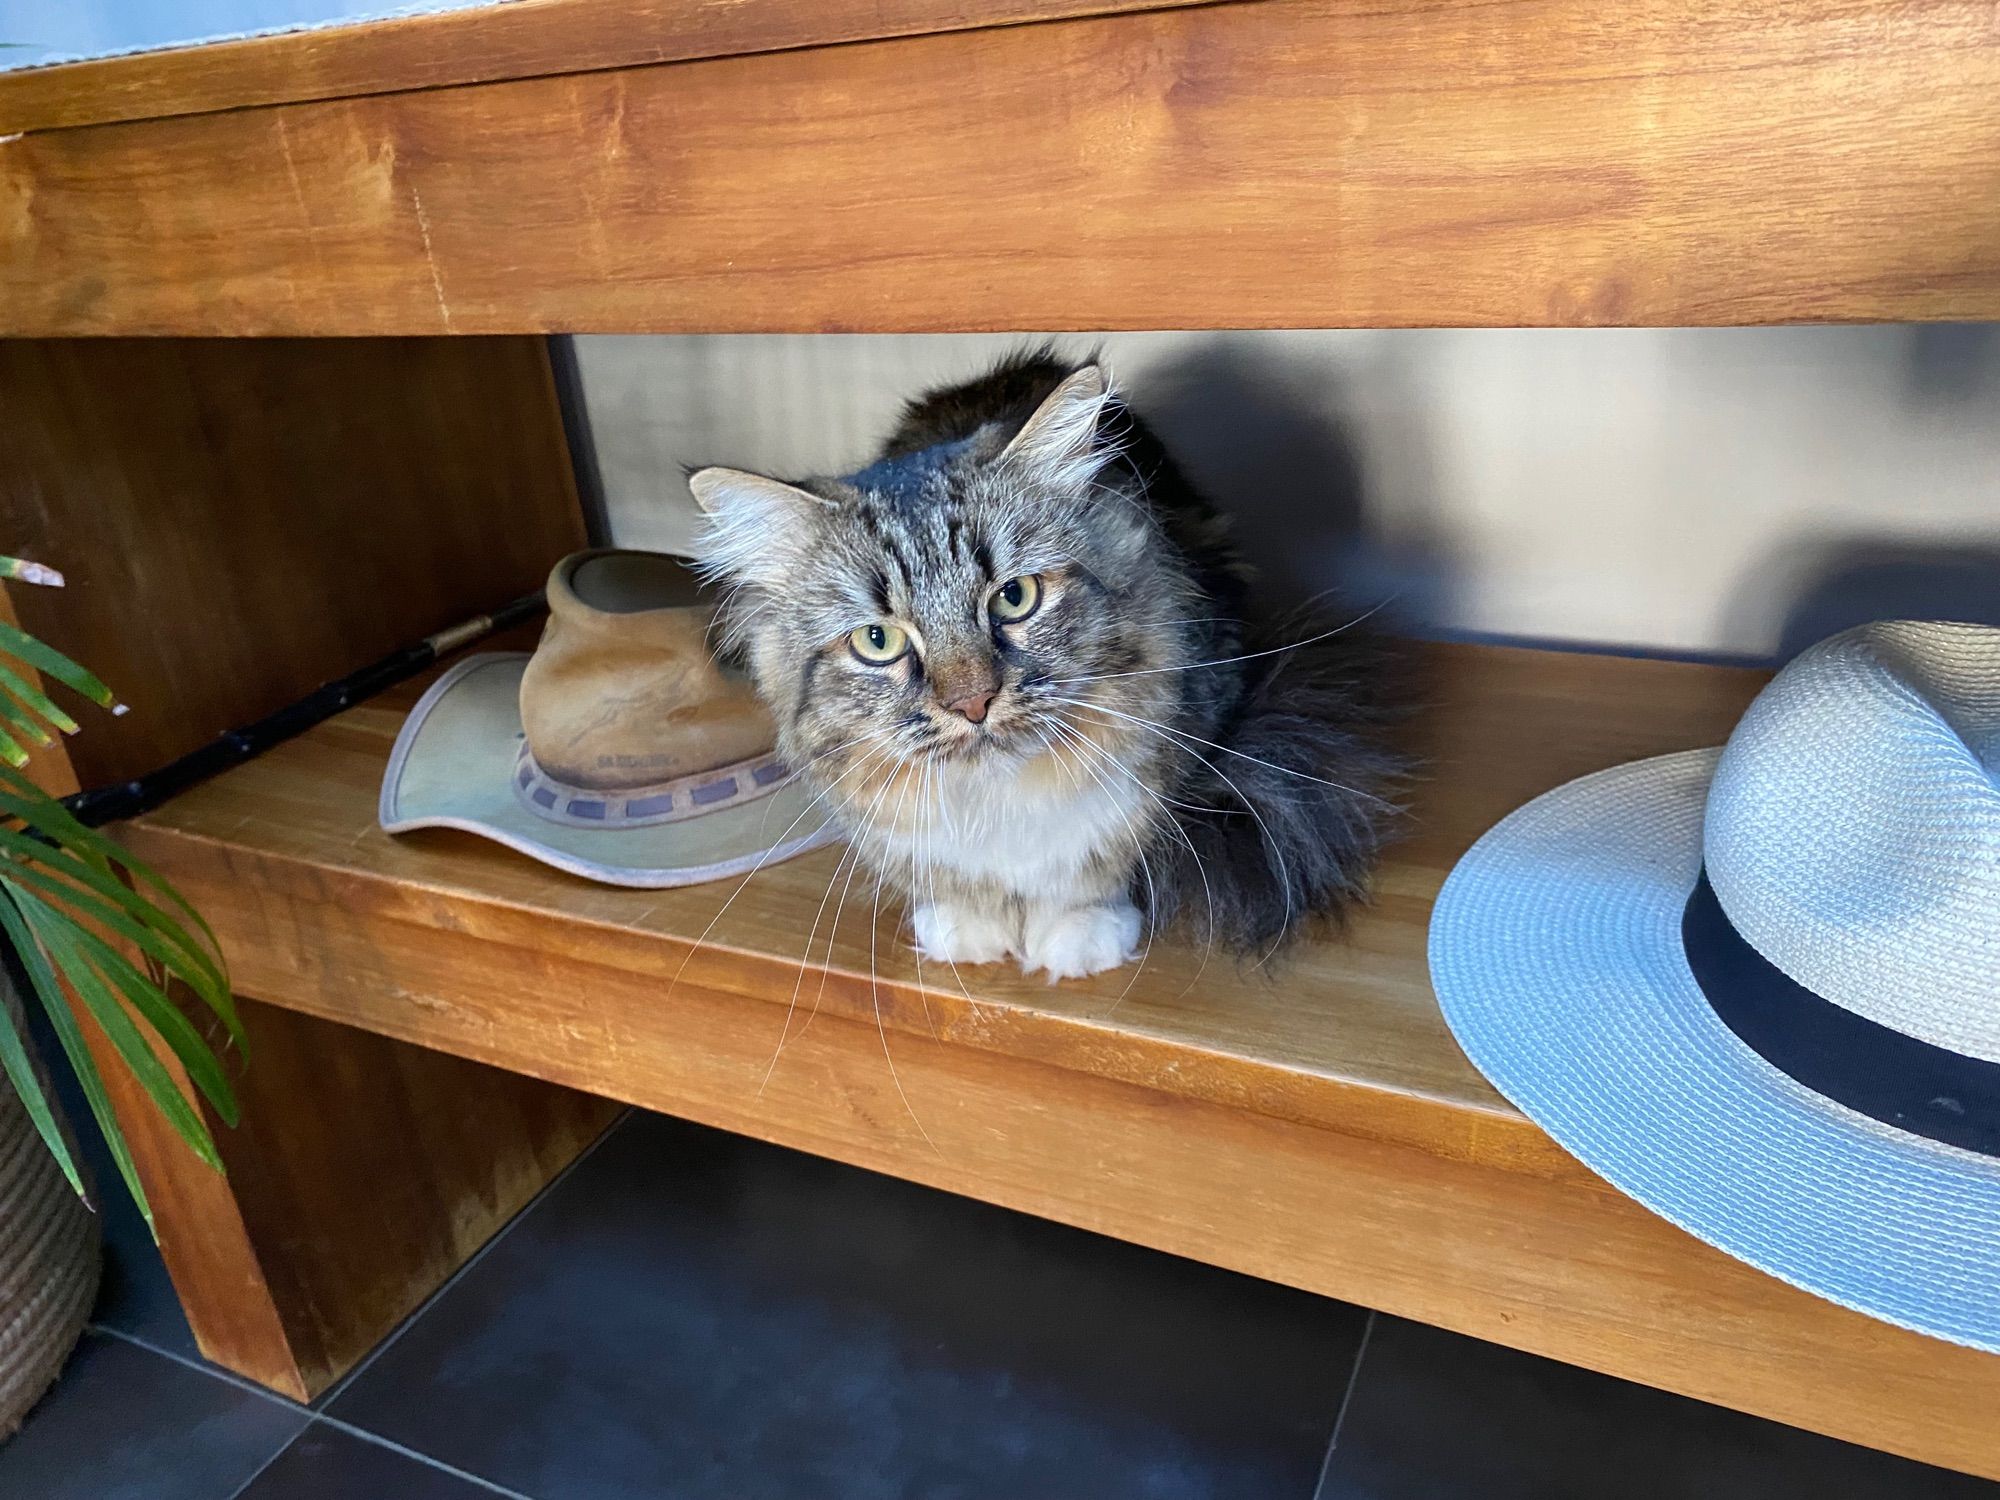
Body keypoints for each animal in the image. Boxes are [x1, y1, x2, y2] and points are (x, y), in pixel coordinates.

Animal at [696, 356, 1400, 988]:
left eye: (1015, 598)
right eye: (879, 640)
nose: (973, 703)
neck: (999, 802)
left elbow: (1098, 868)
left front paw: (1078, 933)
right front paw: (968, 925)